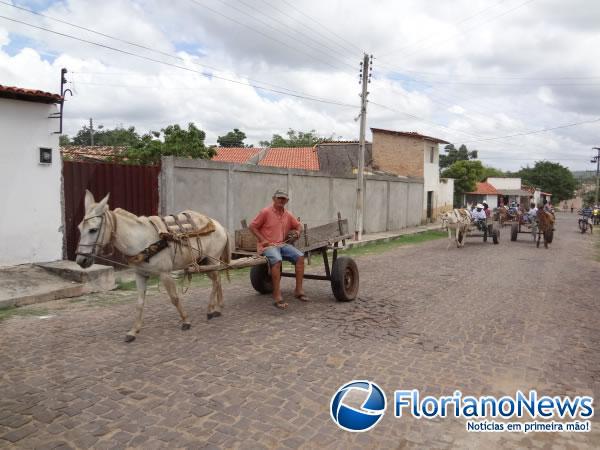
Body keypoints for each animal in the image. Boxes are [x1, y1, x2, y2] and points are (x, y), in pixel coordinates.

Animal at [76, 189, 231, 342]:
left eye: (93, 230)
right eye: (79, 228)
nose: (80, 260)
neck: (141, 240)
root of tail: (219, 226)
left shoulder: (165, 274)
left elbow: (174, 298)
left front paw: (186, 321)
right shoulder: (140, 275)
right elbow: (139, 303)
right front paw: (133, 331)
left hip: (212, 261)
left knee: (216, 281)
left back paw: (211, 310)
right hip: (204, 262)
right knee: (217, 280)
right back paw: (218, 307)